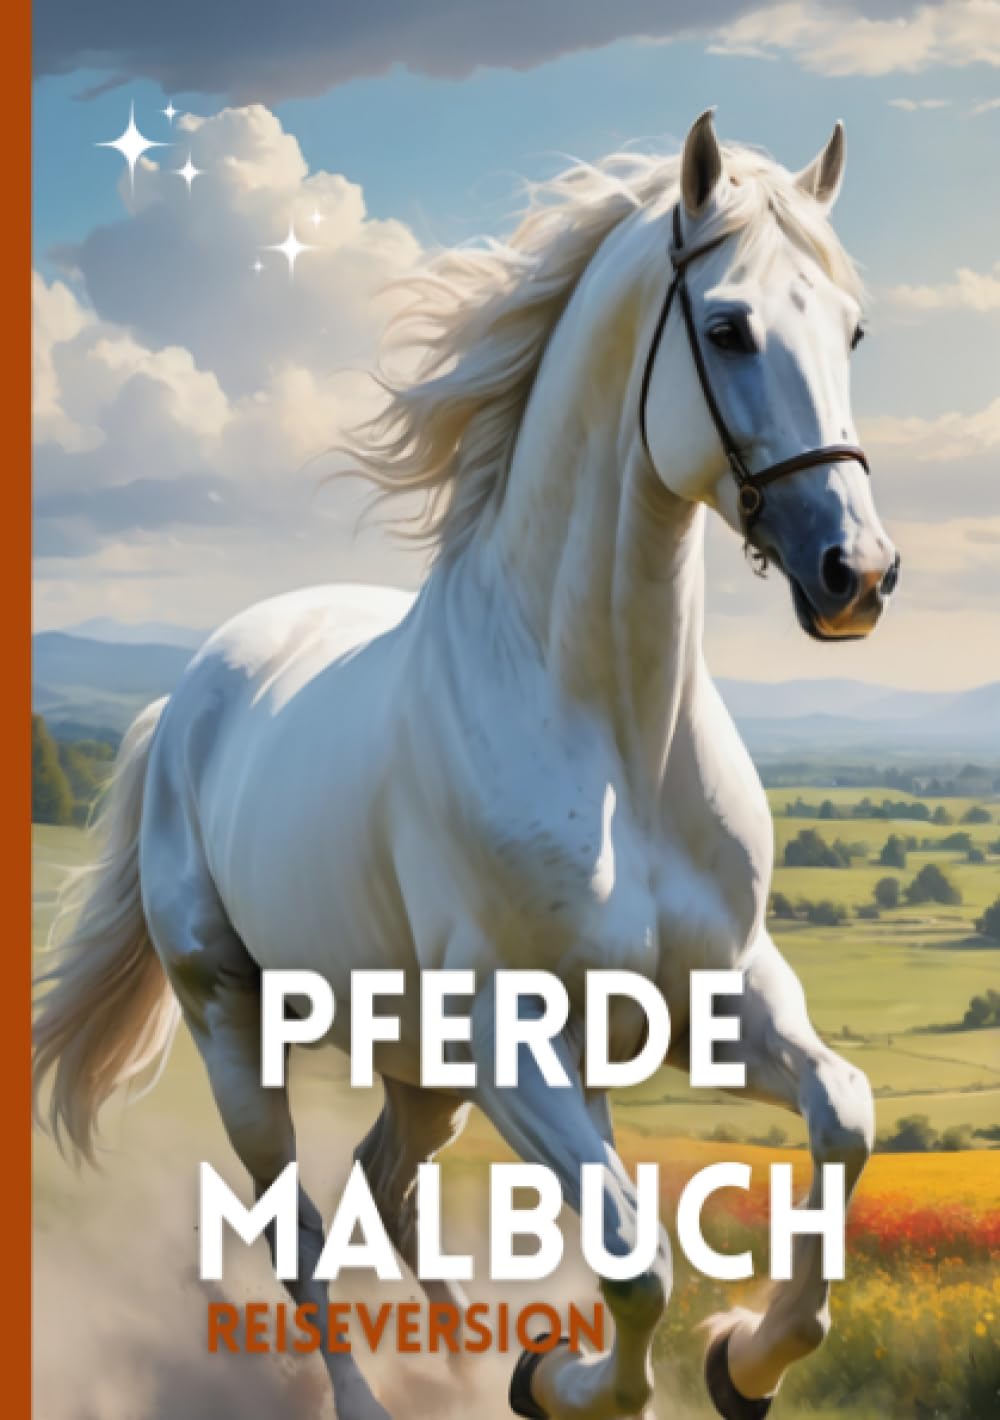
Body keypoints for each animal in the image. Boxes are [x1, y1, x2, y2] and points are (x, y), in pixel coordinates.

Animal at [33, 111, 900, 1420]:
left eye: (848, 328)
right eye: (727, 328)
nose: (857, 574)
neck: (612, 738)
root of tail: (186, 697)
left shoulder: (714, 998)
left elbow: (841, 1118)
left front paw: (740, 1357)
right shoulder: (510, 1038)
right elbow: (635, 1254)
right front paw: (572, 1377)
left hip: (420, 1067)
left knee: (387, 1181)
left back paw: (460, 1354)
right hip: (236, 1025)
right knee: (300, 1227)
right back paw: (385, 1391)